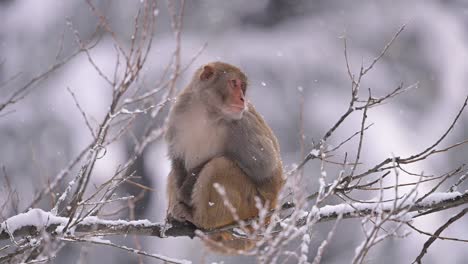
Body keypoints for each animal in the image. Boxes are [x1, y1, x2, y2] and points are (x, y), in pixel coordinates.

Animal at [165, 61, 284, 252]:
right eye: (234, 83)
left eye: (243, 87)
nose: (242, 99)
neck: (206, 112)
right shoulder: (178, 113)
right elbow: (177, 160)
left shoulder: (242, 124)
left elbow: (265, 167)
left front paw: (185, 191)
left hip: (251, 207)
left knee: (219, 166)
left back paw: (198, 219)